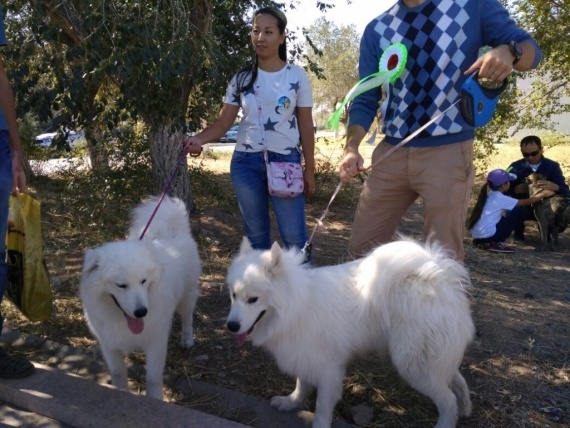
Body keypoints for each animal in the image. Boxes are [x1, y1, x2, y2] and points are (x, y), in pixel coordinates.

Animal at [80, 196, 200, 400]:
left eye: (143, 281)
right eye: (121, 285)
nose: (141, 312)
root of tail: (172, 231)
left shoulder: (156, 342)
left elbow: (152, 378)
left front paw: (155, 399)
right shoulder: (109, 344)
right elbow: (118, 373)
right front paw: (121, 391)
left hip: (186, 296)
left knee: (187, 317)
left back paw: (187, 340)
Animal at [224, 237, 472, 428]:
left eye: (253, 299)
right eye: (233, 295)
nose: (231, 326)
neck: (295, 304)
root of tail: (439, 280)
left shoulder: (329, 370)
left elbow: (322, 409)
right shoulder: (305, 356)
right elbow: (301, 385)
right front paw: (291, 402)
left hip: (414, 366)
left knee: (447, 400)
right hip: (429, 360)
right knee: (455, 379)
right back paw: (466, 406)